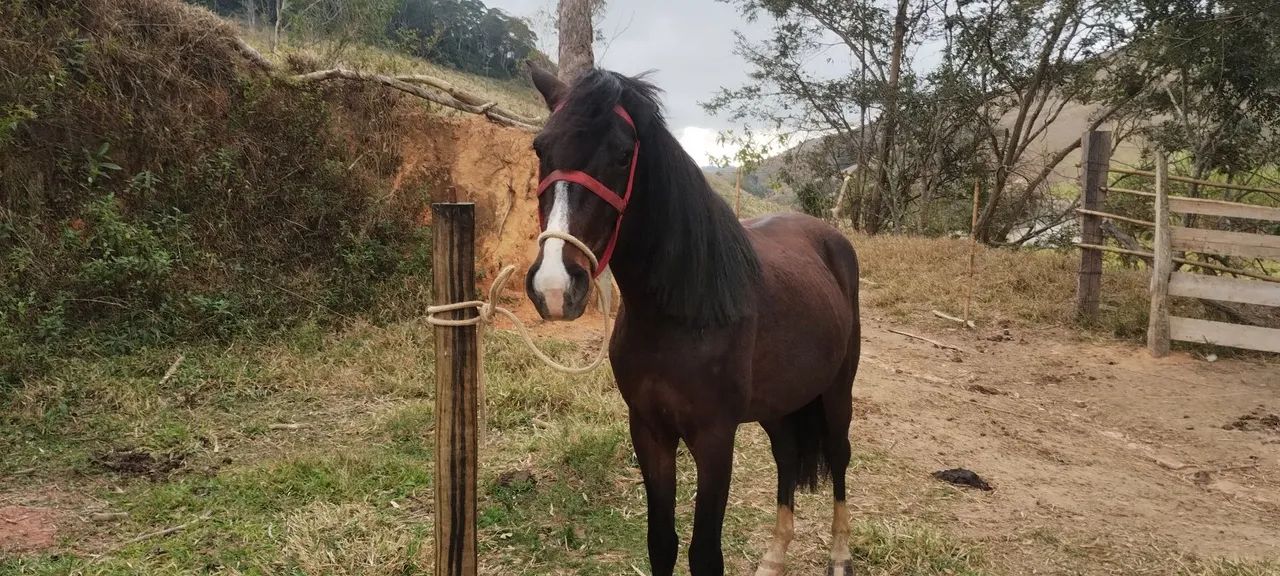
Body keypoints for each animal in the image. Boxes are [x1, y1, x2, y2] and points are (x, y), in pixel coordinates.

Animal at [523, 65, 861, 576]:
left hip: (837, 391)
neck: (684, 314)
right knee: (786, 458)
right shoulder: (649, 430)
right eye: (540, 149)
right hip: (780, 404)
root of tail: (831, 238)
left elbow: (705, 554)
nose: (556, 286)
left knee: (839, 457)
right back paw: (773, 557)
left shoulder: (715, 440)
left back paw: (840, 554)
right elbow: (661, 542)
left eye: (623, 155)